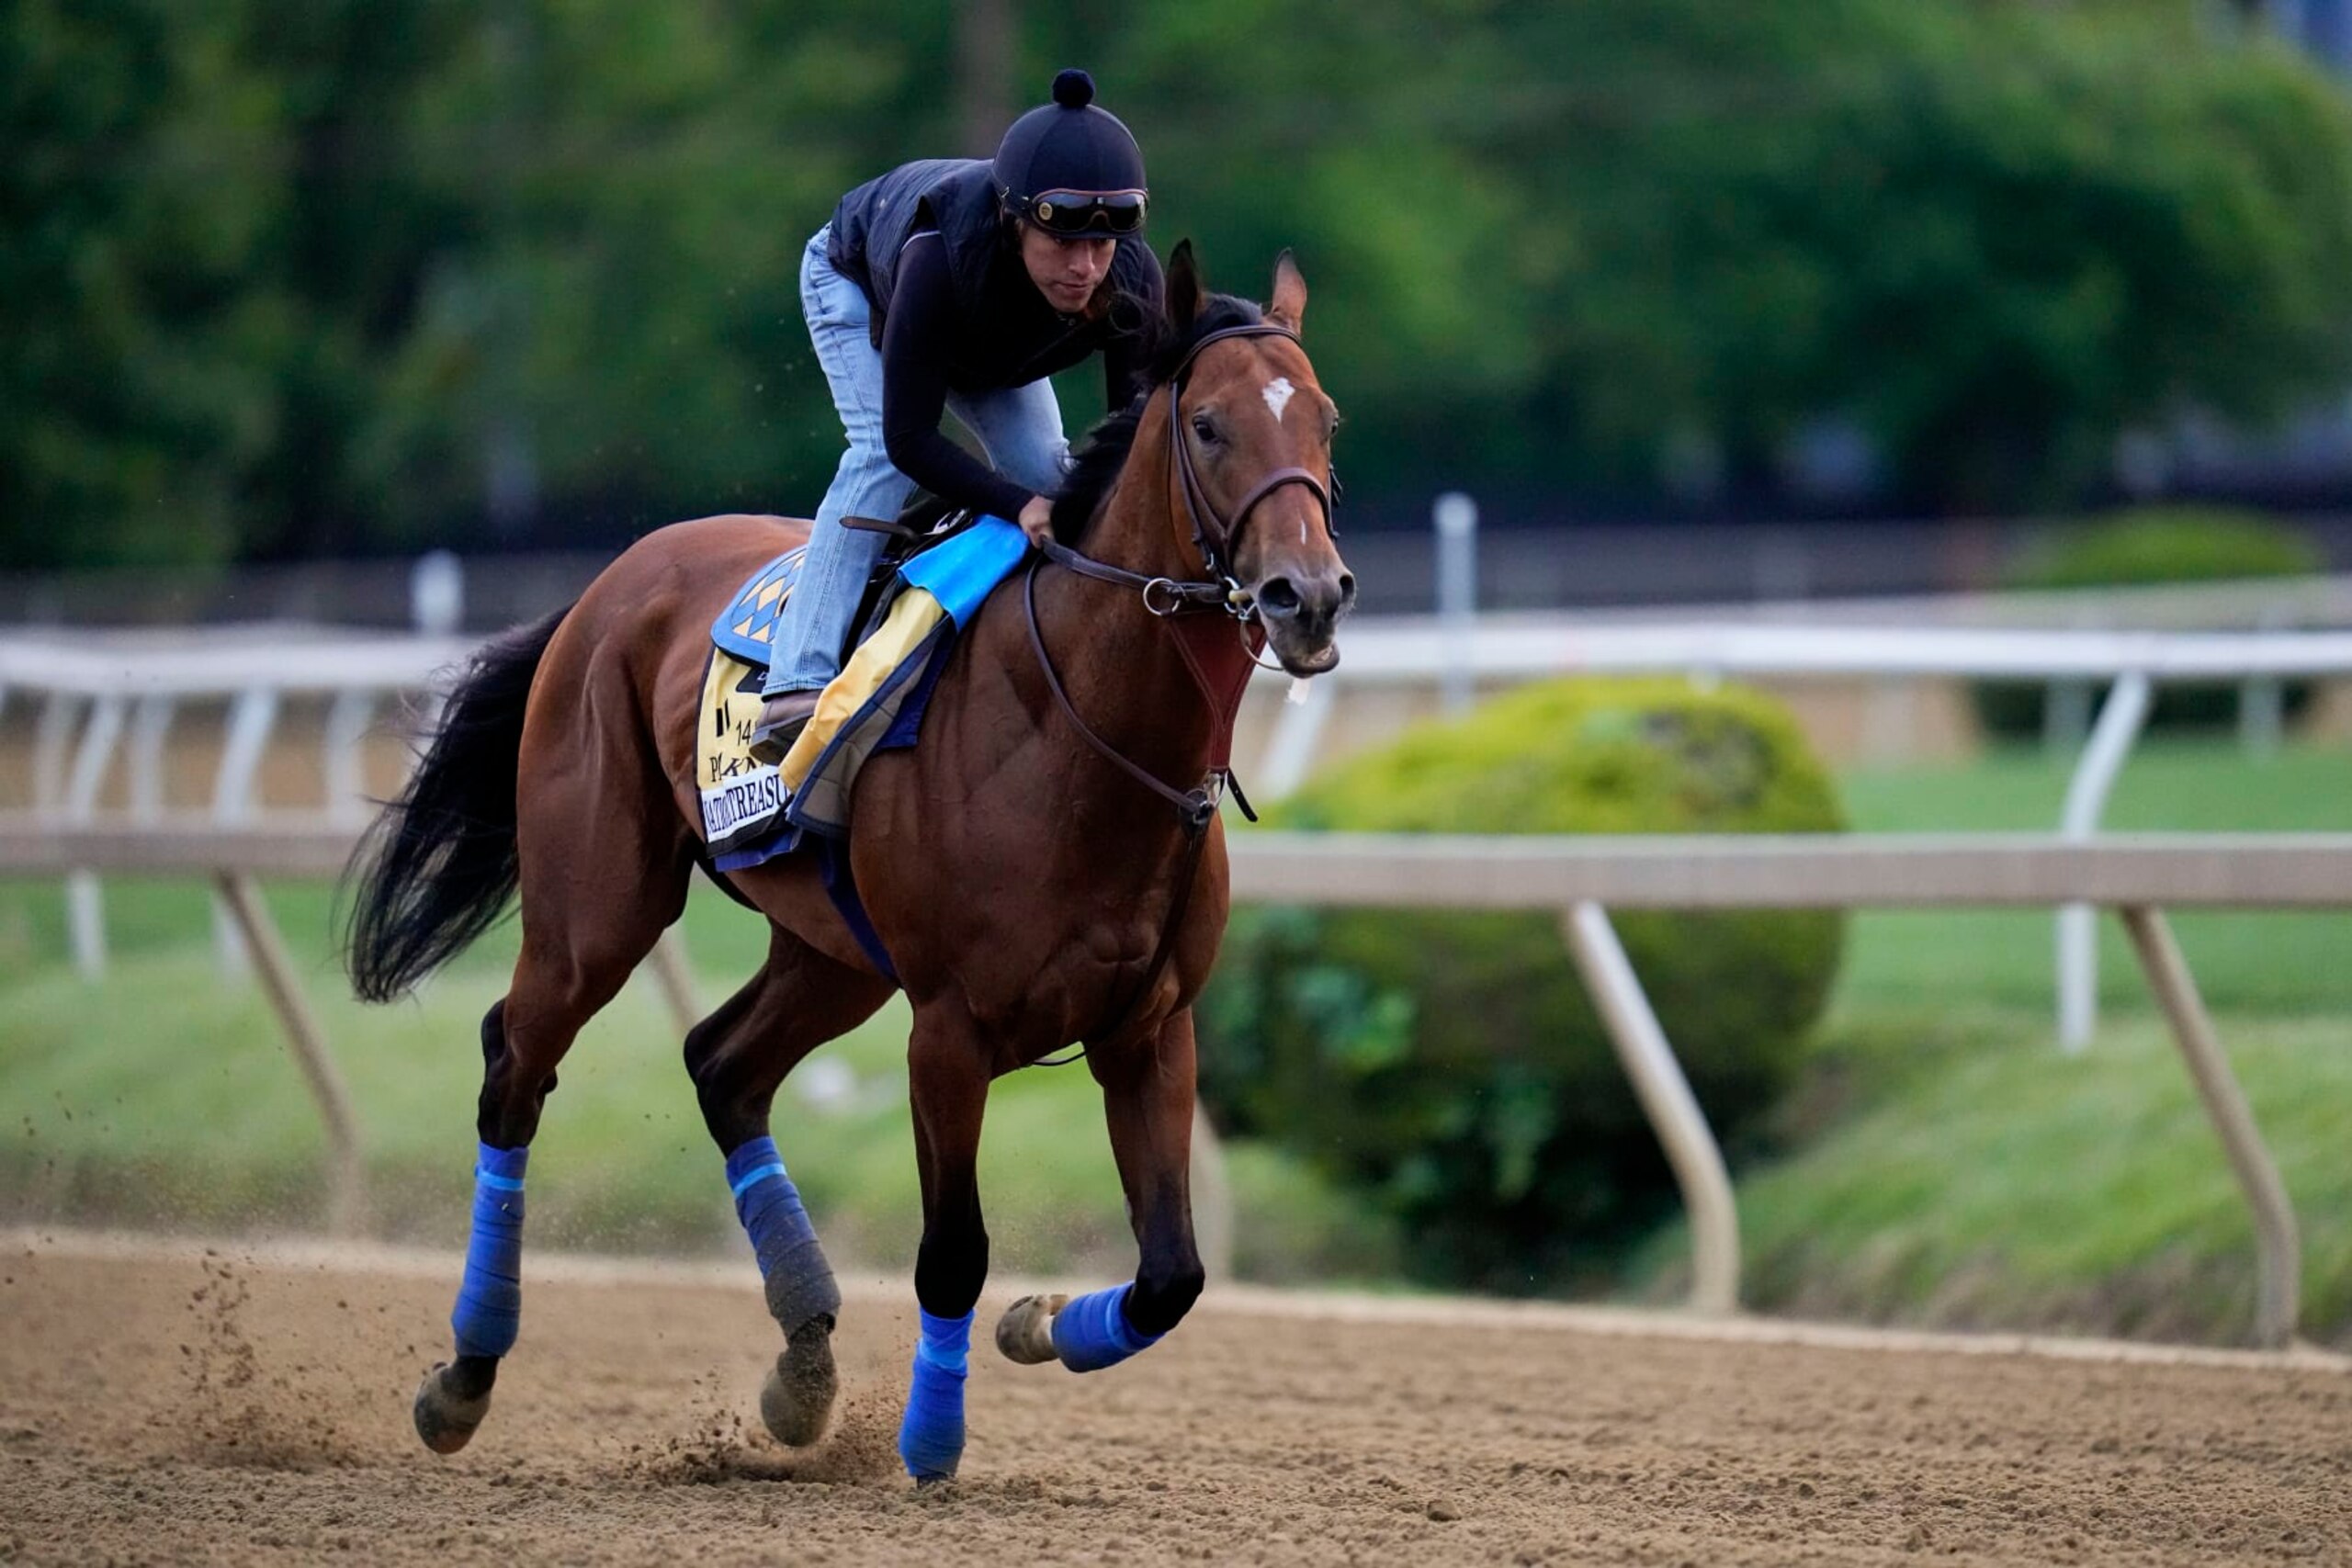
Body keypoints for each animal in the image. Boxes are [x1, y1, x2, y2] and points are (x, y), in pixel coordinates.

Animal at [344, 242, 1353, 1483]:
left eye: (1324, 421)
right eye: (1209, 426)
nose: (1307, 597)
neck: (1085, 732)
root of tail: (606, 584)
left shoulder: (1150, 1026)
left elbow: (1172, 1276)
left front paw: (1035, 1326)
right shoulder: (949, 1029)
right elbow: (953, 1250)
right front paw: (930, 1440)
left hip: (834, 955)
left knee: (722, 1066)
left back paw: (804, 1363)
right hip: (597, 910)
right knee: (514, 1066)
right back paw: (466, 1374)